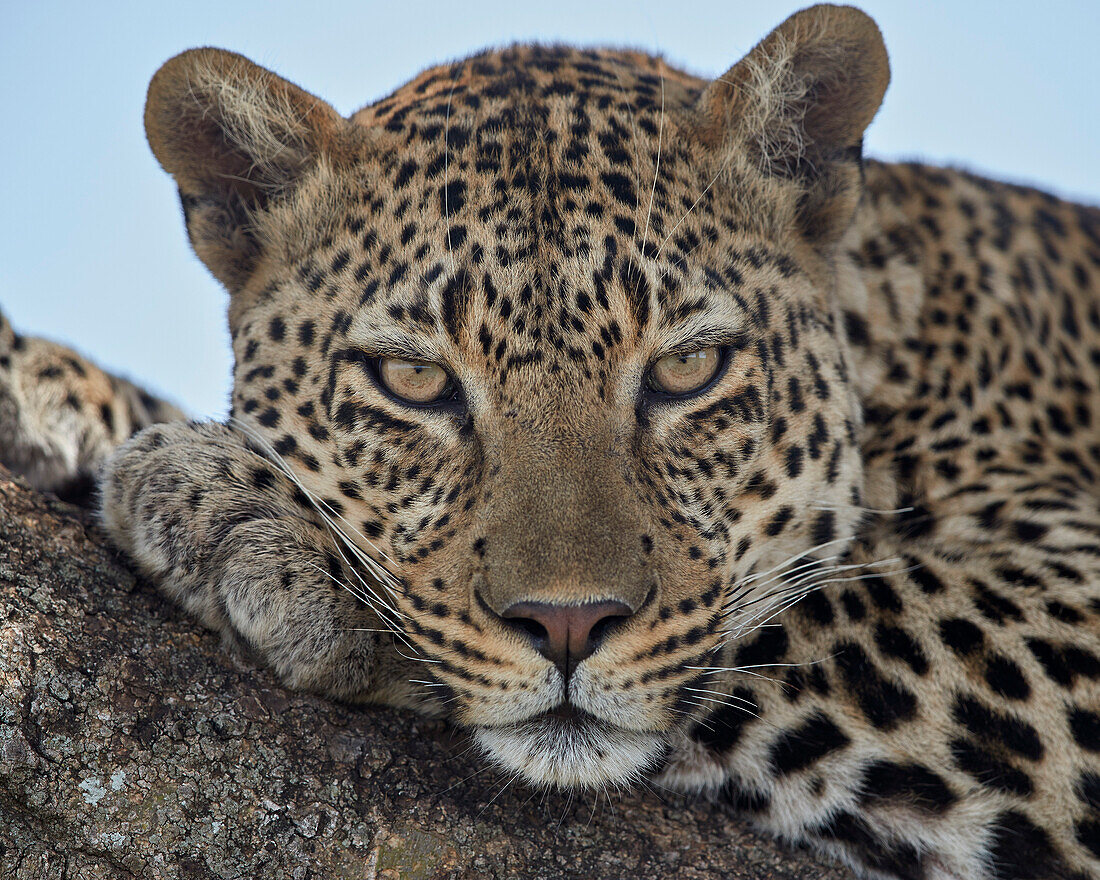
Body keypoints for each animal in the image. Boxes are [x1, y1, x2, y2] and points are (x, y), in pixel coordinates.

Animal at [2, 3, 1100, 875]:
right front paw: (45, 391)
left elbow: (799, 615)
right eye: (415, 381)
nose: (567, 626)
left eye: (686, 370)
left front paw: (255, 525)